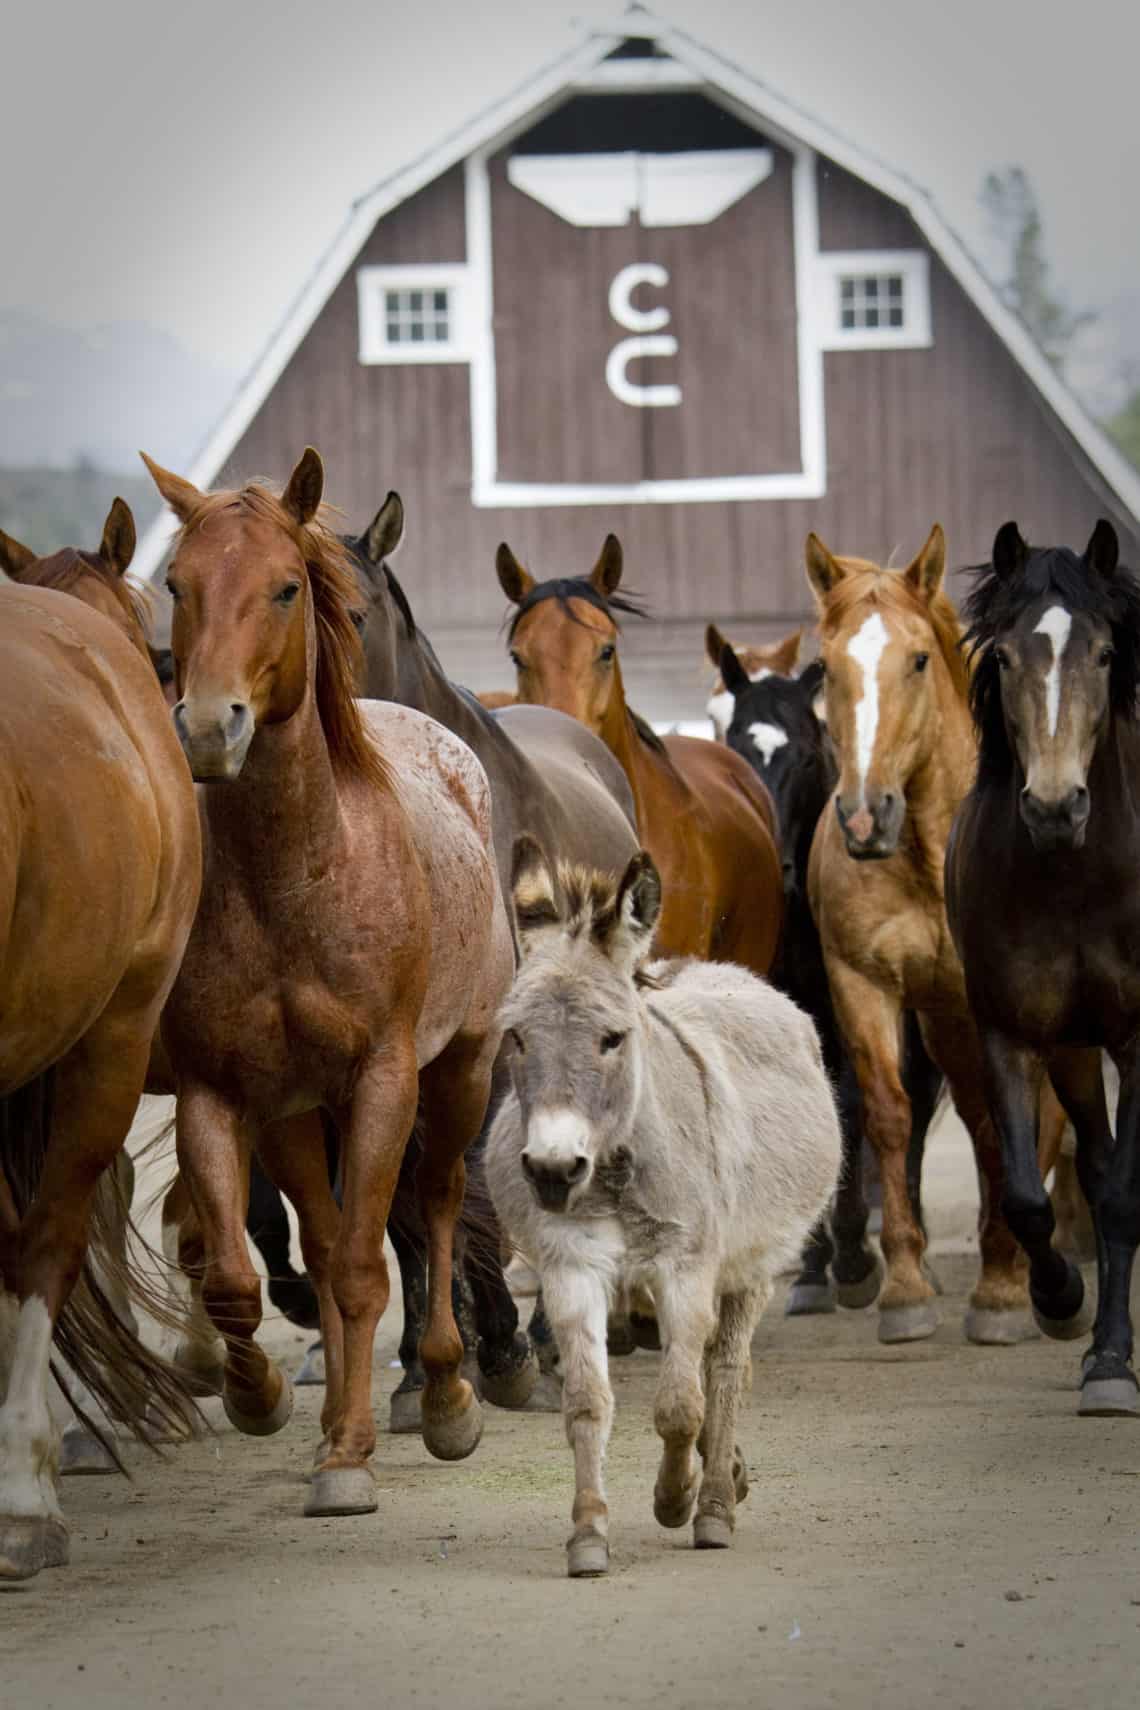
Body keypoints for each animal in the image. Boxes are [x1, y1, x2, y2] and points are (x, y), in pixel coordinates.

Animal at [142, 448, 512, 1518]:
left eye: (285, 587)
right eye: (177, 585)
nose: (209, 727)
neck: (294, 879)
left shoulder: (385, 1078)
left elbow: (361, 1263)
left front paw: (357, 1451)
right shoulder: (225, 1092)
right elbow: (239, 1271)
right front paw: (259, 1397)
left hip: (459, 1071)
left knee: (437, 1200)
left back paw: (445, 1392)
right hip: (304, 1112)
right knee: (321, 1226)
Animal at [806, 526, 1039, 1340]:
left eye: (917, 659)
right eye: (827, 665)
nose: (863, 816)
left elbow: (1003, 1123)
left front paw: (1003, 1288)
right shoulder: (862, 983)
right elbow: (887, 1112)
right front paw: (904, 1285)